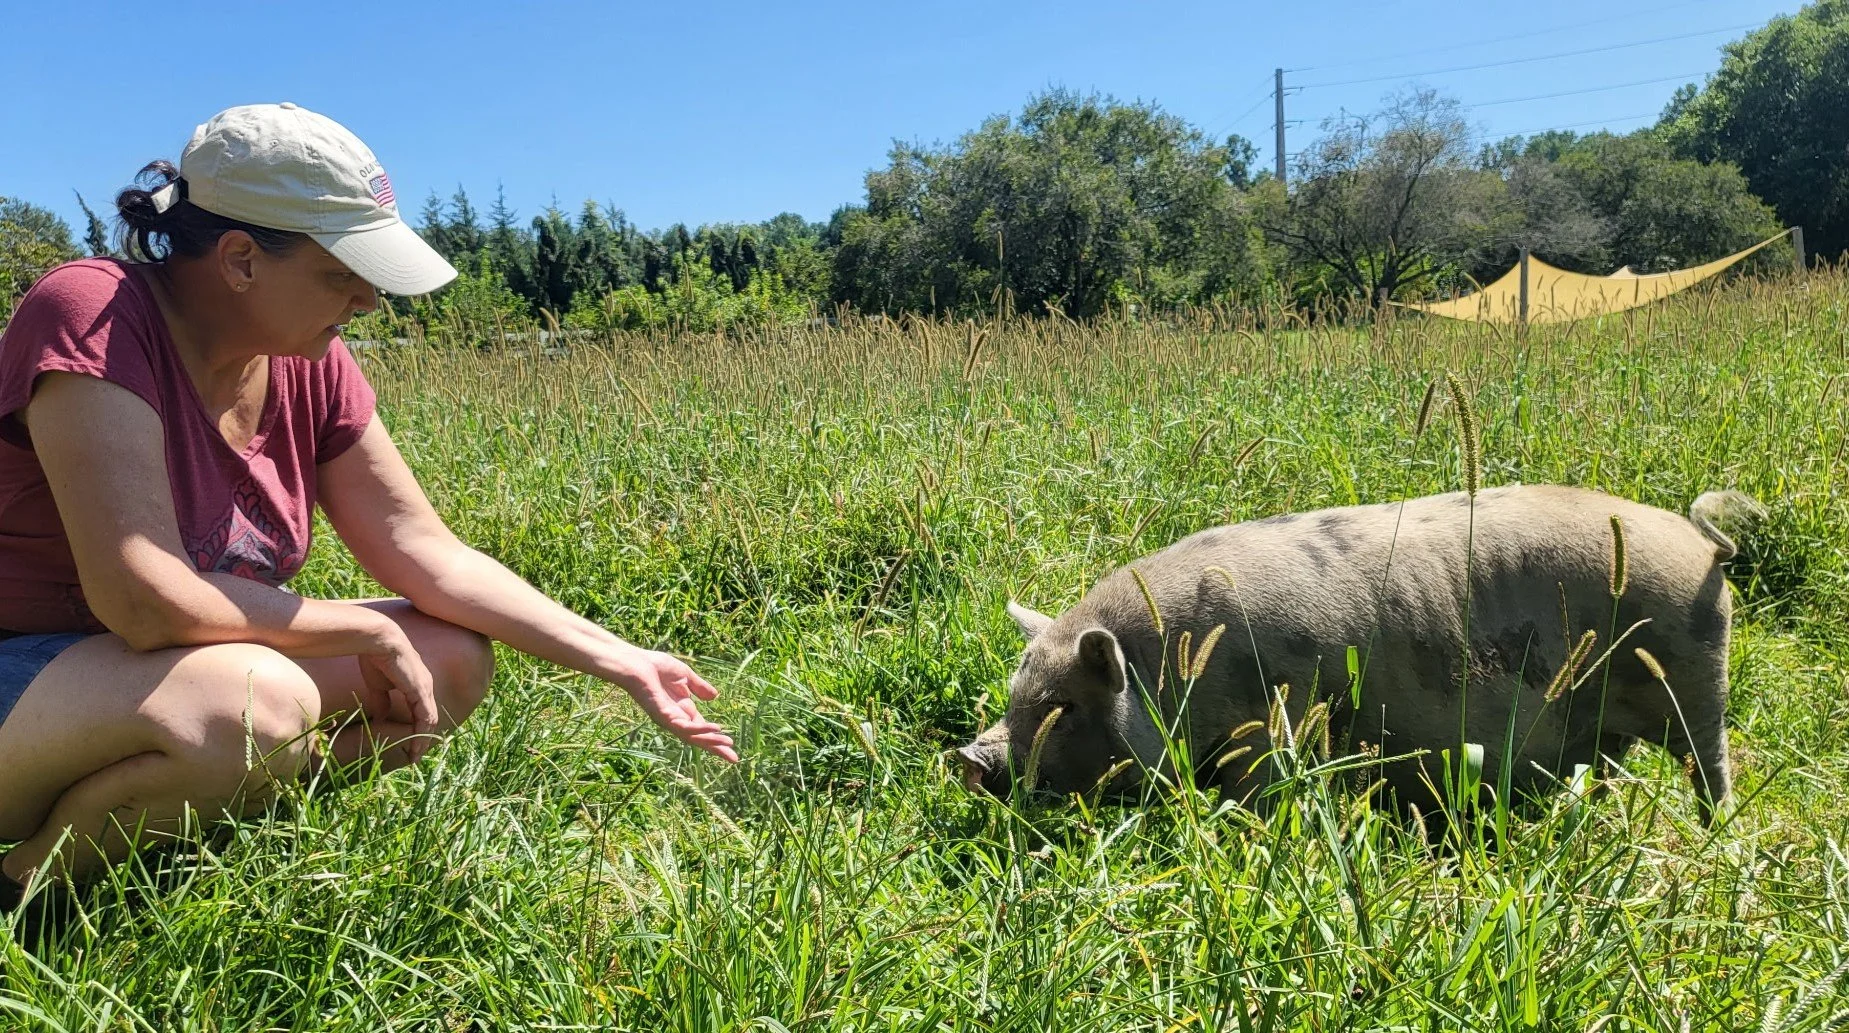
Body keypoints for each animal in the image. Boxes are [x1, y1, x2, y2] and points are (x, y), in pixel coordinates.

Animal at [956, 484, 1762, 825]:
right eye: (1015, 696)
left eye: (1063, 707)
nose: (966, 756)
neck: (1167, 669)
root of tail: (1701, 546)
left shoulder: (1269, 726)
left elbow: (1259, 795)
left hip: (1696, 681)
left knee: (1710, 762)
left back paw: (1715, 834)